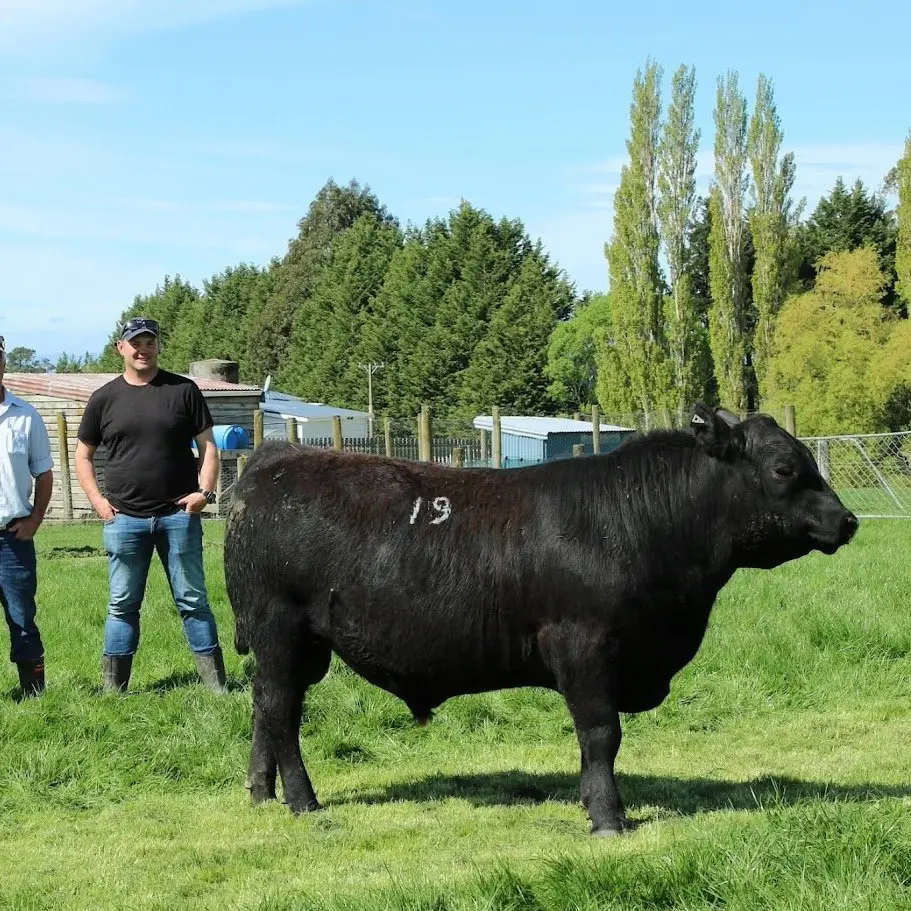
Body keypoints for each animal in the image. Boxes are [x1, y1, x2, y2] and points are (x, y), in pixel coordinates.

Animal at [224, 404, 858, 836]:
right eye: (784, 468)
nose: (848, 521)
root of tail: (274, 461)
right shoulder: (585, 647)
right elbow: (601, 734)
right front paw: (607, 817)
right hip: (281, 632)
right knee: (281, 712)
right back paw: (302, 800)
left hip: (298, 647)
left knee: (263, 707)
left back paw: (260, 791)